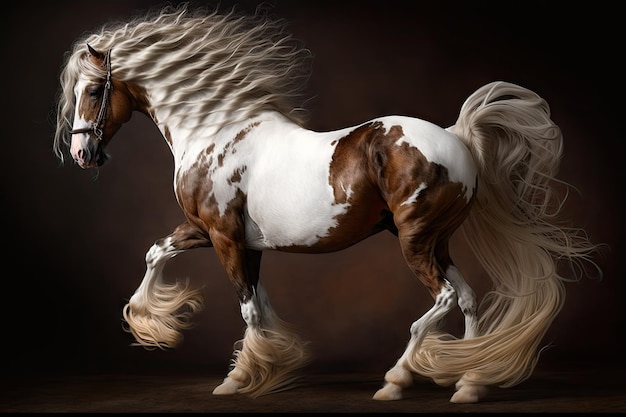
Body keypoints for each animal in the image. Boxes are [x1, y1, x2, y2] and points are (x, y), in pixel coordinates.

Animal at [52, 4, 600, 404]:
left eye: (95, 90)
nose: (82, 154)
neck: (216, 131)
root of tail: (457, 137)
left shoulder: (222, 235)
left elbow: (246, 305)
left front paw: (239, 377)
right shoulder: (223, 236)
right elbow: (164, 257)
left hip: (415, 239)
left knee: (443, 299)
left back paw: (396, 381)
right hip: (438, 241)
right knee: (466, 299)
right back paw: (467, 382)